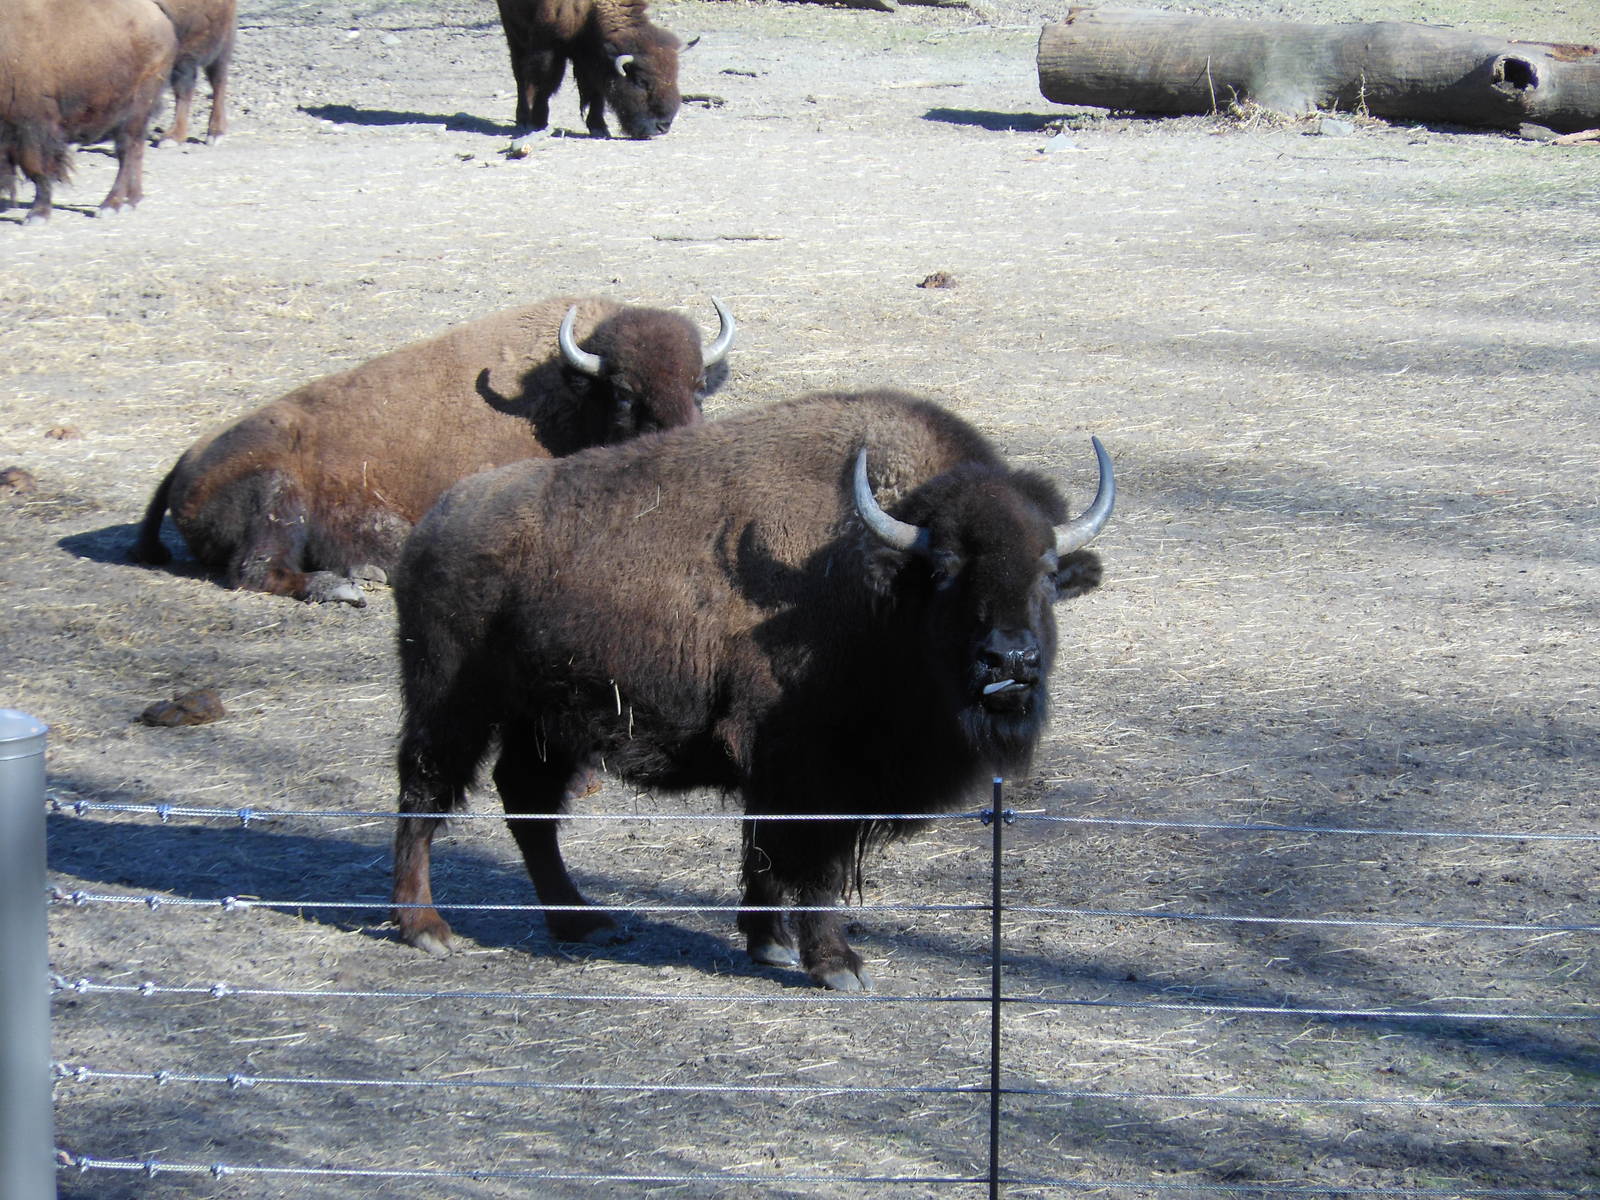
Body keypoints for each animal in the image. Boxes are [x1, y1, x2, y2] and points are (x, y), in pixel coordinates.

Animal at [0, 0, 178, 221]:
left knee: (127, 152)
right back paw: (132, 200)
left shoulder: (32, 124)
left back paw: (110, 205)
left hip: (135, 107)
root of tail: (155, 10)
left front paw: (38, 214)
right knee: (135, 150)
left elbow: (37, 168)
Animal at [134, 296, 735, 605]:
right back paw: (346, 586)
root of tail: (184, 464)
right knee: (257, 569)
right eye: (625, 393)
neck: (565, 396)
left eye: (698, 386)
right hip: (277, 493)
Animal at [391, 390, 1114, 990]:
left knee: (527, 805)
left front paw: (770, 944)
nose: (1010, 660)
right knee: (424, 792)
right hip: (451, 703)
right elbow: (811, 866)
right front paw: (837, 965)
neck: (875, 584)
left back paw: (581, 922)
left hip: (548, 724)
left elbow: (761, 850)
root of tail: (433, 524)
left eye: (1048, 570)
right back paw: (427, 928)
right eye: (944, 567)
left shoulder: (773, 769)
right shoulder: (811, 773)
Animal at [495, 0, 683, 140]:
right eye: (641, 82)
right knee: (520, 75)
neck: (591, 10)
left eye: (673, 76)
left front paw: (599, 127)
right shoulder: (548, 46)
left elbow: (596, 92)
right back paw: (523, 119)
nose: (663, 126)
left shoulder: (592, 56)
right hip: (514, 32)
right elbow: (545, 84)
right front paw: (539, 122)